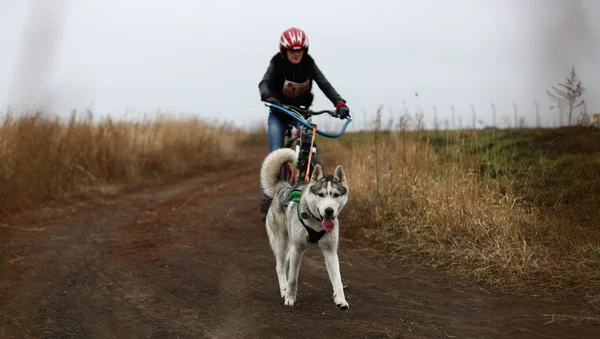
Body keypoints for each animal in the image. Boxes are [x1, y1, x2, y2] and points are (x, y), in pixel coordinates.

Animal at [258, 149, 352, 310]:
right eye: (321, 194)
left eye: (335, 195)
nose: (329, 211)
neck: (316, 222)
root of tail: (283, 188)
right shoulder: (298, 248)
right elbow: (293, 278)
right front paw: (290, 297)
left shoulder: (330, 250)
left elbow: (337, 279)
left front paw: (341, 300)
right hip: (283, 242)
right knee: (280, 267)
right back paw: (284, 289)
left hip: (290, 248)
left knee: (285, 263)